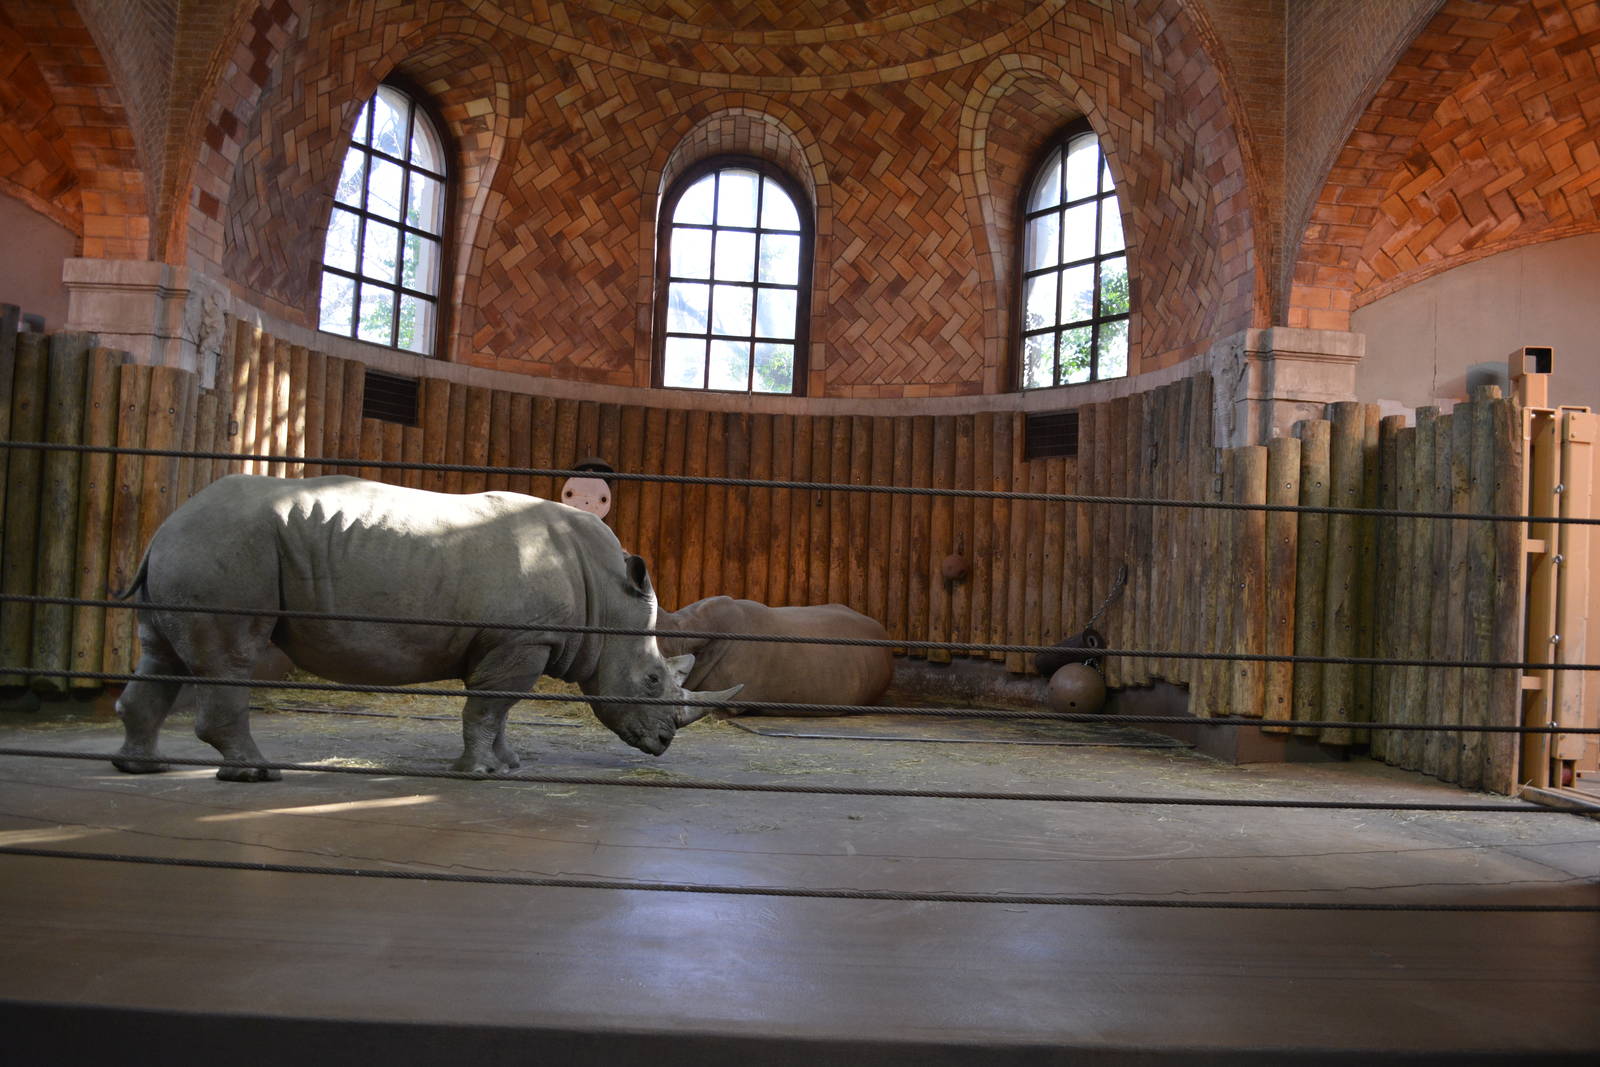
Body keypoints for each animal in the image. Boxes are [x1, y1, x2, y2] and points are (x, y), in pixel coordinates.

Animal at [113, 474, 738, 781]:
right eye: (653, 680)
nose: (663, 743)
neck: (606, 601)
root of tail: (170, 521)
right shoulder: (520, 639)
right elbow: (490, 705)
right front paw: (480, 772)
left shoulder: (509, 641)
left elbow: (499, 710)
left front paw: (508, 766)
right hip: (225, 548)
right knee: (229, 659)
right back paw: (255, 775)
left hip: (195, 548)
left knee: (162, 656)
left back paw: (141, 767)